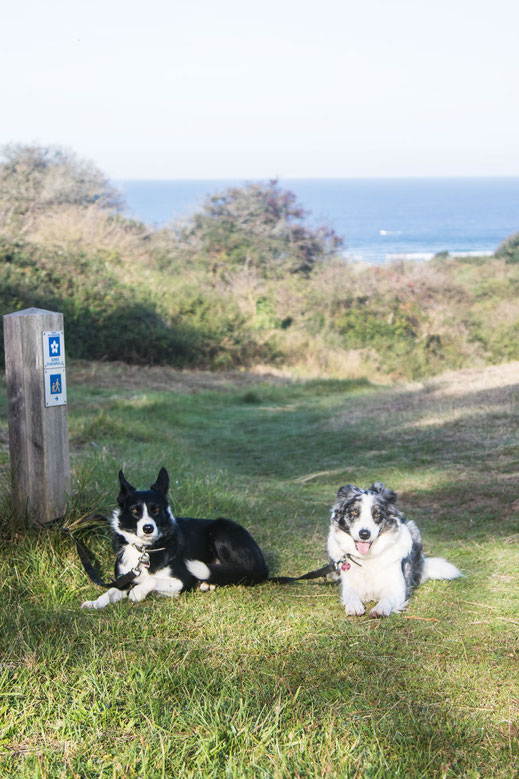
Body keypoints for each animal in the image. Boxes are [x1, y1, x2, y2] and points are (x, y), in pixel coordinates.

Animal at [82, 470, 268, 608]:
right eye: (135, 511)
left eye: (156, 509)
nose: (148, 528)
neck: (146, 549)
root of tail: (262, 566)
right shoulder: (124, 580)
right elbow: (109, 592)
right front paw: (94, 603)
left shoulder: (181, 581)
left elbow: (152, 580)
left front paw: (138, 591)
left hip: (221, 530)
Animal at [328, 478, 462, 620]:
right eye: (353, 512)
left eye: (377, 514)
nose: (364, 534)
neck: (369, 557)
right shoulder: (349, 585)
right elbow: (351, 595)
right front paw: (354, 606)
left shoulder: (397, 587)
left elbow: (387, 598)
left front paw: (380, 609)